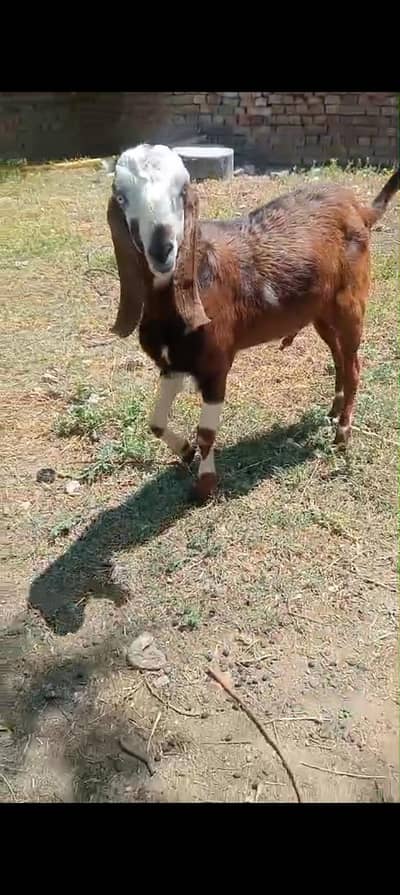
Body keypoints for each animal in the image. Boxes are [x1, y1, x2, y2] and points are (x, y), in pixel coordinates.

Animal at [107, 143, 399, 502]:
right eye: (121, 197)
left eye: (182, 191)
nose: (163, 250)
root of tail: (359, 208)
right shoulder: (173, 364)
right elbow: (156, 422)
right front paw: (185, 451)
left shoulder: (215, 363)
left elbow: (206, 433)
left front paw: (205, 487)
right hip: (321, 312)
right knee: (340, 358)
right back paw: (333, 411)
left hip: (351, 302)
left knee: (354, 363)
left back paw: (342, 434)